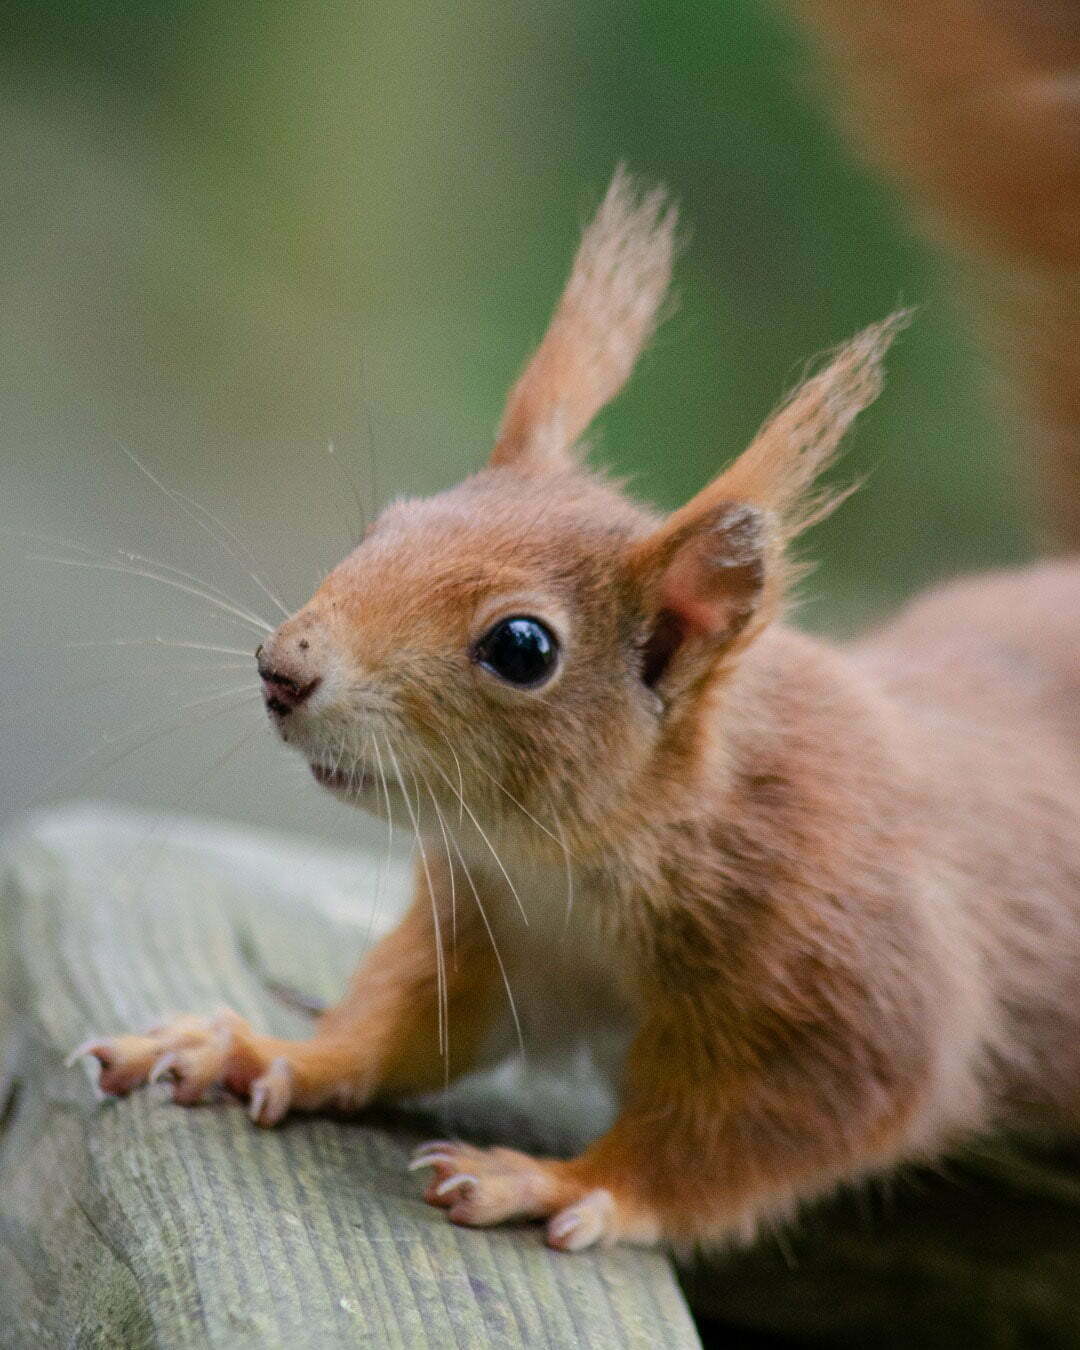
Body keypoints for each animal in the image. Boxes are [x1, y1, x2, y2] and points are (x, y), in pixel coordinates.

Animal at [73, 0, 1080, 1252]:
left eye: (523, 648)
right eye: (392, 520)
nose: (280, 671)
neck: (571, 866)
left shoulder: (861, 979)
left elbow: (766, 1129)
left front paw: (565, 1180)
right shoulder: (498, 929)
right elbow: (406, 1020)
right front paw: (264, 1050)